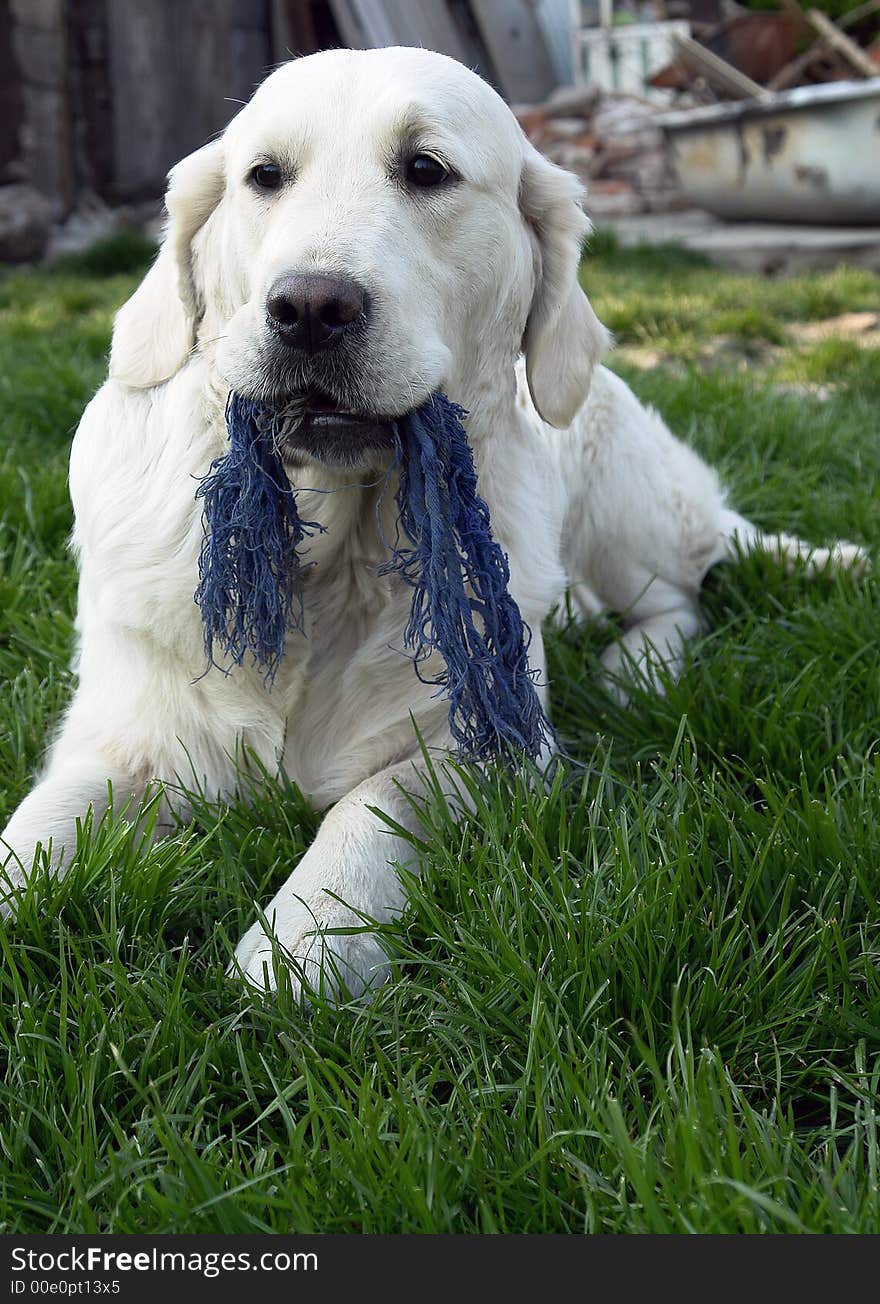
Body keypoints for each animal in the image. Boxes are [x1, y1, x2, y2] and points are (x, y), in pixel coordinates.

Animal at [0, 43, 865, 996]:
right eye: (264, 176)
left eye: (425, 170)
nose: (309, 308)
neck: (331, 552)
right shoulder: (118, 736)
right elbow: (33, 837)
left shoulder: (482, 743)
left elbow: (372, 805)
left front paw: (304, 936)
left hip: (620, 499)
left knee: (680, 593)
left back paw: (633, 669)